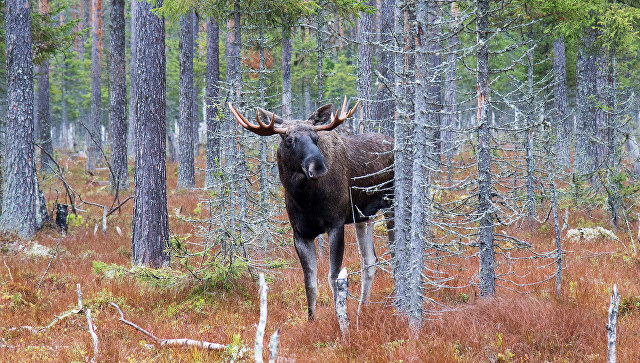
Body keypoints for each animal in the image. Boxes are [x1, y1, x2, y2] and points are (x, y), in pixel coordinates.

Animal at [228, 97, 392, 322]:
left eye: (316, 138)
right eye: (289, 140)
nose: (318, 166)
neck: (305, 199)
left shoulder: (336, 224)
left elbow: (333, 277)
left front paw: (341, 319)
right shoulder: (300, 233)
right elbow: (310, 283)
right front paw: (311, 321)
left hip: (391, 203)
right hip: (364, 217)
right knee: (370, 260)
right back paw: (363, 309)